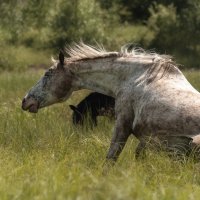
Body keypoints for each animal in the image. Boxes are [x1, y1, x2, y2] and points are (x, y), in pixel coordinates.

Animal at [21, 42, 200, 162]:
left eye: (47, 74)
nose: (25, 100)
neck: (134, 78)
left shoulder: (122, 125)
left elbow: (110, 158)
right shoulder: (145, 140)